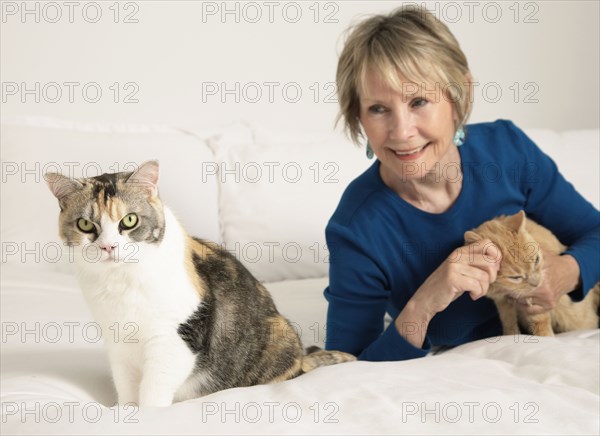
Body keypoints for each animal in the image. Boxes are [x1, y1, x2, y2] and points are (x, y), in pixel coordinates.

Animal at [48, 161, 356, 408]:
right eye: (86, 225)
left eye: (130, 220)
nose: (108, 247)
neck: (120, 281)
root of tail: (303, 359)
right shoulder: (118, 342)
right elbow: (126, 385)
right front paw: (125, 412)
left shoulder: (174, 337)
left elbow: (154, 388)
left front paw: (147, 415)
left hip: (279, 335)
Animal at [466, 211, 596, 338]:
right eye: (515, 277)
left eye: (537, 260)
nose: (536, 283)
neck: (505, 289)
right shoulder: (501, 301)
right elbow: (508, 320)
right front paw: (510, 335)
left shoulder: (534, 302)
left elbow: (540, 321)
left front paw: (546, 338)